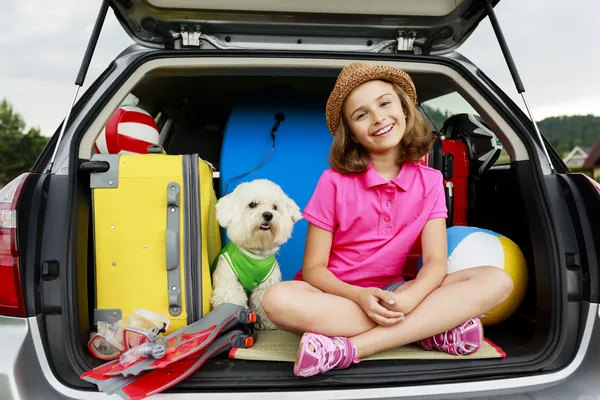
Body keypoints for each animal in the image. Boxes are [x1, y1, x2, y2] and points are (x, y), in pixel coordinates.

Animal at [211, 180, 304, 330]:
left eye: (274, 207)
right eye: (252, 204)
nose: (268, 215)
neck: (255, 254)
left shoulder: (266, 283)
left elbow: (262, 300)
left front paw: (268, 323)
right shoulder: (227, 279)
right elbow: (231, 297)